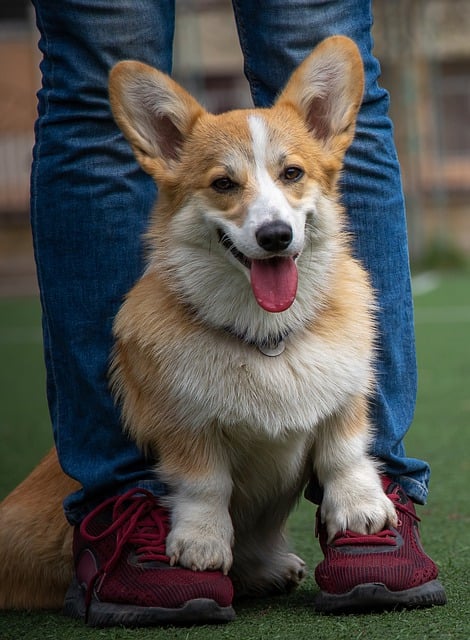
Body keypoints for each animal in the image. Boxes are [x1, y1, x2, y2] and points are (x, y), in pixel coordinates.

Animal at [0, 36, 396, 608]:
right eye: (223, 184)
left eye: (292, 174)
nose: (276, 236)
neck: (265, 336)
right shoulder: (184, 424)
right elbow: (206, 484)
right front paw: (200, 545)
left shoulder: (345, 395)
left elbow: (343, 452)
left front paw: (361, 510)